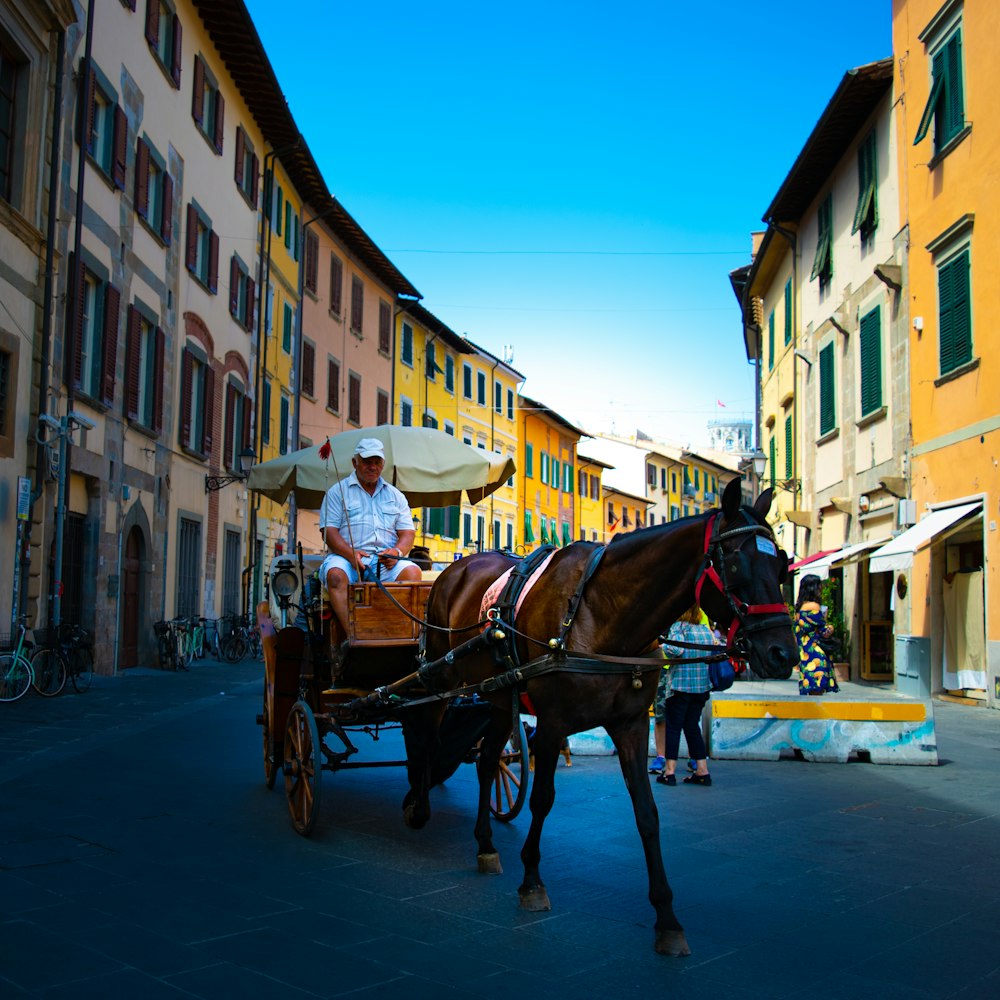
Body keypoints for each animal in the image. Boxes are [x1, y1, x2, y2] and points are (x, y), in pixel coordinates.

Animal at [402, 480, 792, 956]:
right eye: (735, 562)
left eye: (783, 565)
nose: (784, 653)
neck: (600, 613)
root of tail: (453, 569)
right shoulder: (552, 724)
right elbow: (543, 799)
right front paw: (532, 881)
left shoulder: (632, 726)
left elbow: (647, 813)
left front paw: (666, 918)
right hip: (440, 673)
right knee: (428, 733)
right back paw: (420, 804)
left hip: (497, 695)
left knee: (487, 760)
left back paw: (485, 844)